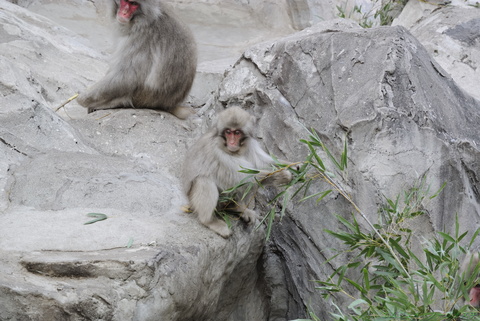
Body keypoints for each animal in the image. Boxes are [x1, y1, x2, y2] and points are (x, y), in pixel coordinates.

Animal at [183, 107, 294, 238]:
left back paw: (237, 208)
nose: (232, 142)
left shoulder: (251, 144)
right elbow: (243, 177)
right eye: (228, 131)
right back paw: (209, 221)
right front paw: (280, 175)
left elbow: (262, 163)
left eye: (237, 133)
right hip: (195, 198)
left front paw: (296, 166)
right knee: (204, 181)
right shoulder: (218, 153)